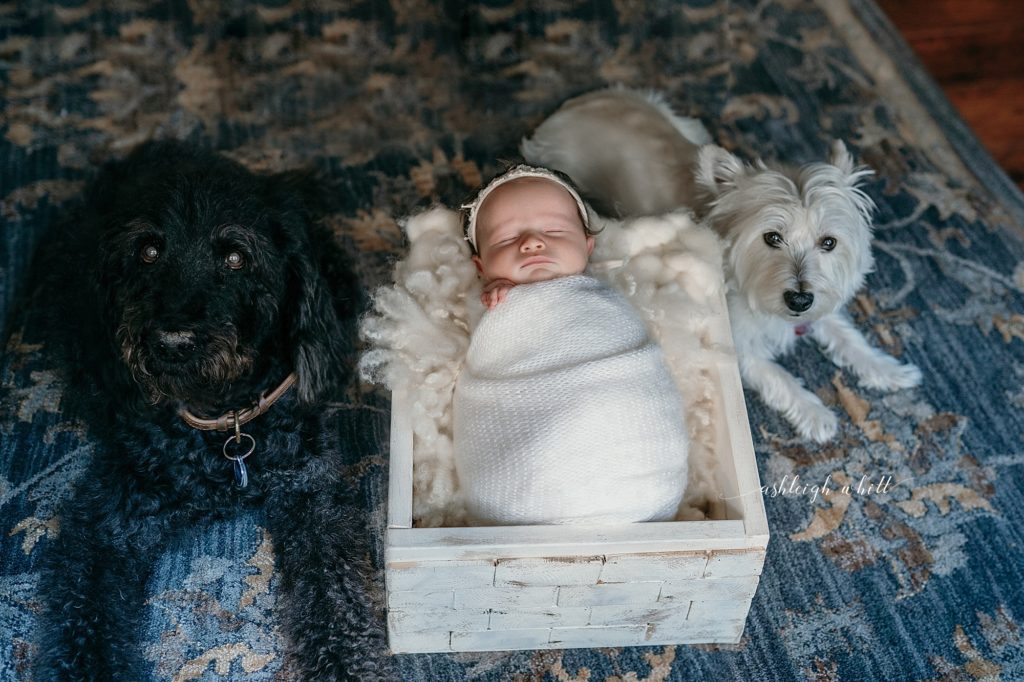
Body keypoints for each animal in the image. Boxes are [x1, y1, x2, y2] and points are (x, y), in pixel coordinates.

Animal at [30, 140, 391, 675]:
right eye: (148, 251)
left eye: (236, 258)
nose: (171, 342)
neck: (222, 428)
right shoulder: (106, 521)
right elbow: (83, 627)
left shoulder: (312, 494)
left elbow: (336, 600)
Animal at [524, 87, 925, 440]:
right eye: (772, 238)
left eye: (828, 242)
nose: (799, 299)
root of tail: (569, 108)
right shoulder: (738, 344)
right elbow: (778, 376)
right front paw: (816, 414)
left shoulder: (820, 304)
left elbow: (847, 334)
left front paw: (889, 370)